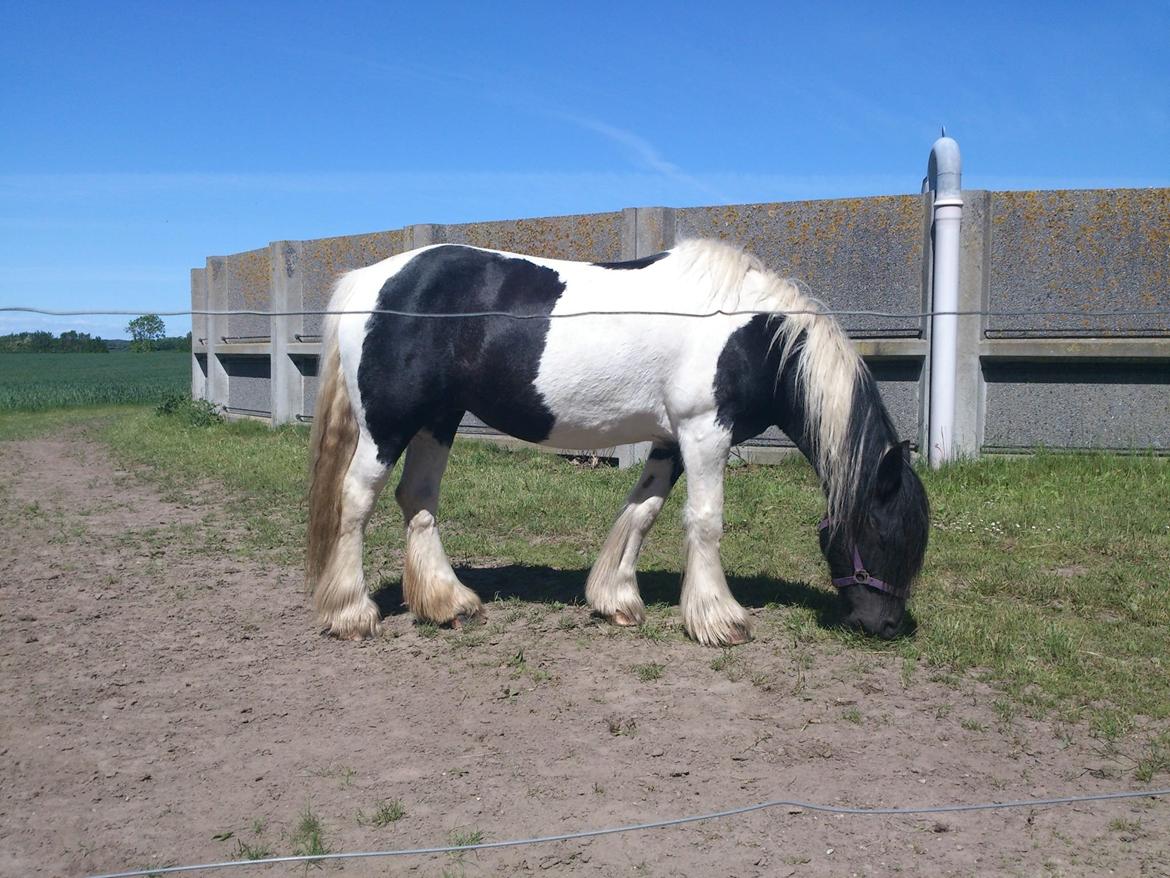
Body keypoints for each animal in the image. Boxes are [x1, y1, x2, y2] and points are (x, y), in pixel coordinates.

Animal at [308, 241, 931, 646]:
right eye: (884, 532)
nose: (885, 627)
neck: (755, 332)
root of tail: (369, 279)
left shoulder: (672, 439)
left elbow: (643, 510)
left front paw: (616, 600)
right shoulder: (705, 430)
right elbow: (705, 520)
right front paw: (719, 619)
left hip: (439, 418)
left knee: (417, 499)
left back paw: (449, 605)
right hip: (389, 425)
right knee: (357, 501)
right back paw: (351, 614)